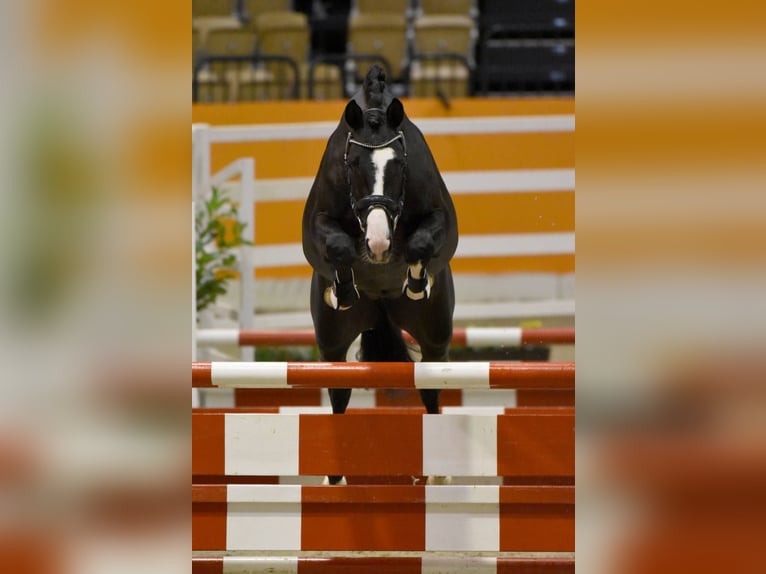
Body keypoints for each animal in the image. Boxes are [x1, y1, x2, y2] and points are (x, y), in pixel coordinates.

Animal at [304, 66, 460, 472]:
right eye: (353, 165)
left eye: (400, 165)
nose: (377, 243)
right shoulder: (319, 222)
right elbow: (338, 246)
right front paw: (343, 288)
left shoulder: (439, 217)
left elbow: (422, 243)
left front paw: (417, 281)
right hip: (333, 343)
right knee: (339, 396)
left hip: (434, 335)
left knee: (432, 390)